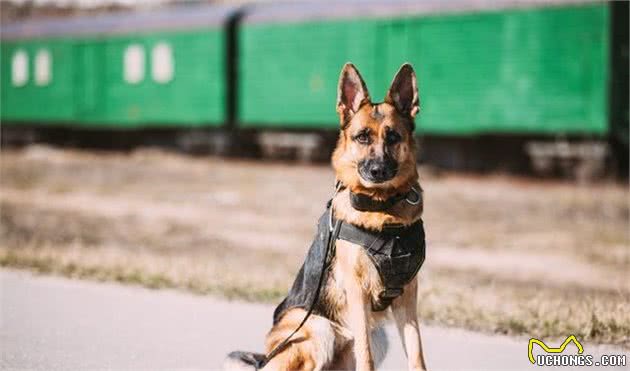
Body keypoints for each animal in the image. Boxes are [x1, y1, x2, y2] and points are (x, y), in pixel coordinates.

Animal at [225, 62, 428, 370]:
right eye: (362, 137)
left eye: (393, 137)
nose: (378, 170)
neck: (383, 210)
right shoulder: (357, 291)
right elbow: (366, 356)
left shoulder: (407, 297)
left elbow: (417, 354)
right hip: (319, 329)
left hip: (378, 335)